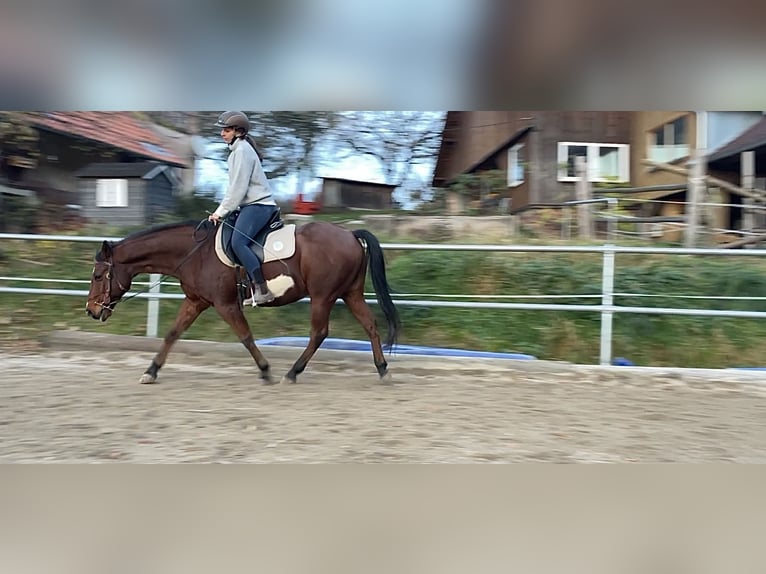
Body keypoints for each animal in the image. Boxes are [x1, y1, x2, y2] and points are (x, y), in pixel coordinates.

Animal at [85, 218, 401, 385]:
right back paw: (382, 369)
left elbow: (246, 336)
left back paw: (292, 373)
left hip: (323, 296)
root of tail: (350, 233)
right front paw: (151, 371)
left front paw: (265, 371)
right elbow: (172, 334)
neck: (194, 253)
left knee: (319, 333)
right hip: (350, 293)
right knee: (370, 326)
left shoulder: (225, 304)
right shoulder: (196, 301)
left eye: (99, 275)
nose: (91, 310)